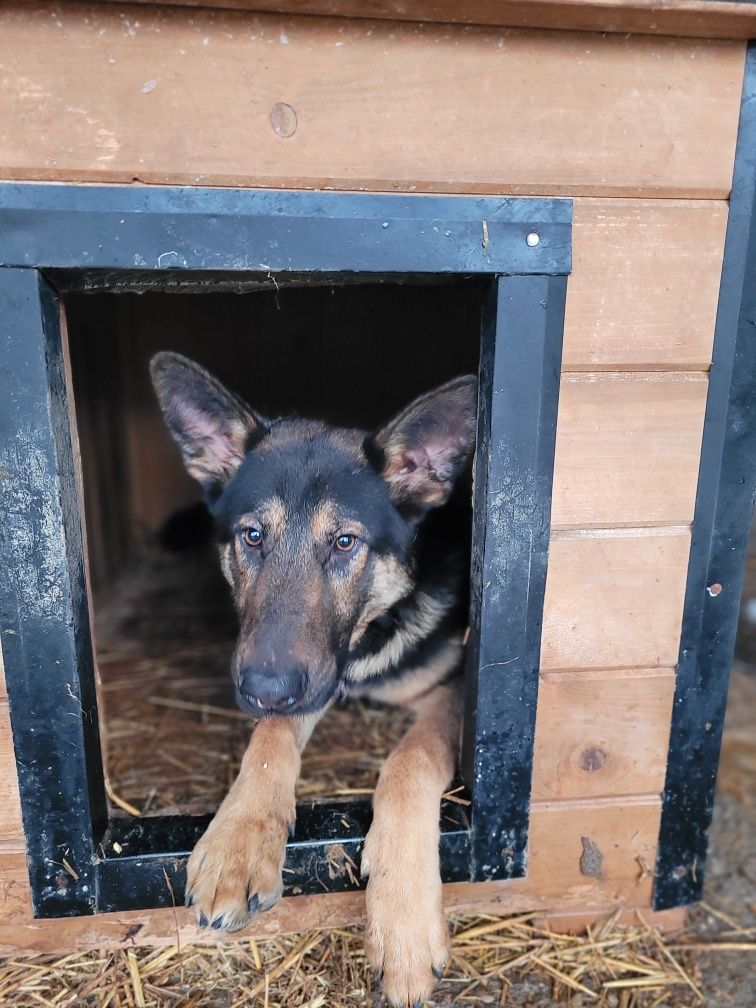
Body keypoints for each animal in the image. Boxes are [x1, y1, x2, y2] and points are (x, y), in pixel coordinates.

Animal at [150, 350, 475, 1003]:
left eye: (345, 542)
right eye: (252, 536)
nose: (263, 692)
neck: (365, 639)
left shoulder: (451, 689)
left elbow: (410, 761)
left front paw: (402, 920)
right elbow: (268, 742)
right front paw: (240, 838)